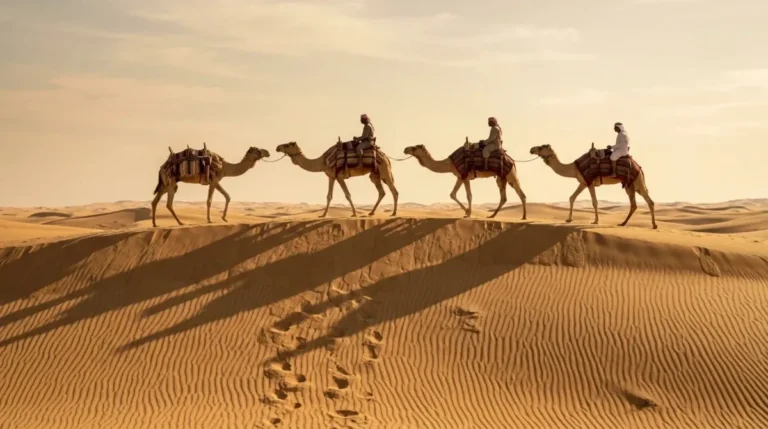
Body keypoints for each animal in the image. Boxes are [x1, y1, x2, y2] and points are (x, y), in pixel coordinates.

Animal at [528, 144, 657, 229]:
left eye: (541, 147)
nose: (531, 149)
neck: (574, 168)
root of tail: (639, 167)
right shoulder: (583, 182)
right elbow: (572, 197)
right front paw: (569, 219)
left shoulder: (590, 182)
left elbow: (594, 202)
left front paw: (595, 221)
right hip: (629, 185)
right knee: (634, 204)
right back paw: (623, 223)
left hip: (638, 182)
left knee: (649, 201)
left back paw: (654, 225)